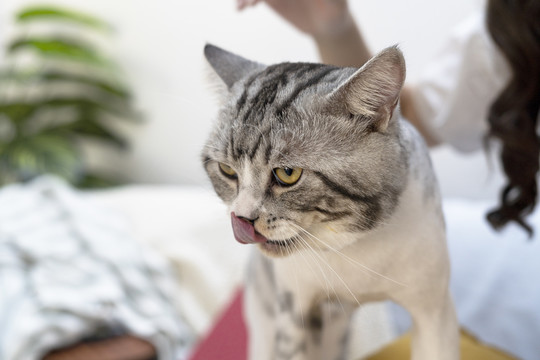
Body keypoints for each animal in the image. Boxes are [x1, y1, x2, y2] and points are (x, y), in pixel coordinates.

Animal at [200, 44, 458, 360]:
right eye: (227, 170)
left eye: (287, 173)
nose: (242, 218)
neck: (352, 250)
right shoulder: (293, 310)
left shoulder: (434, 311)